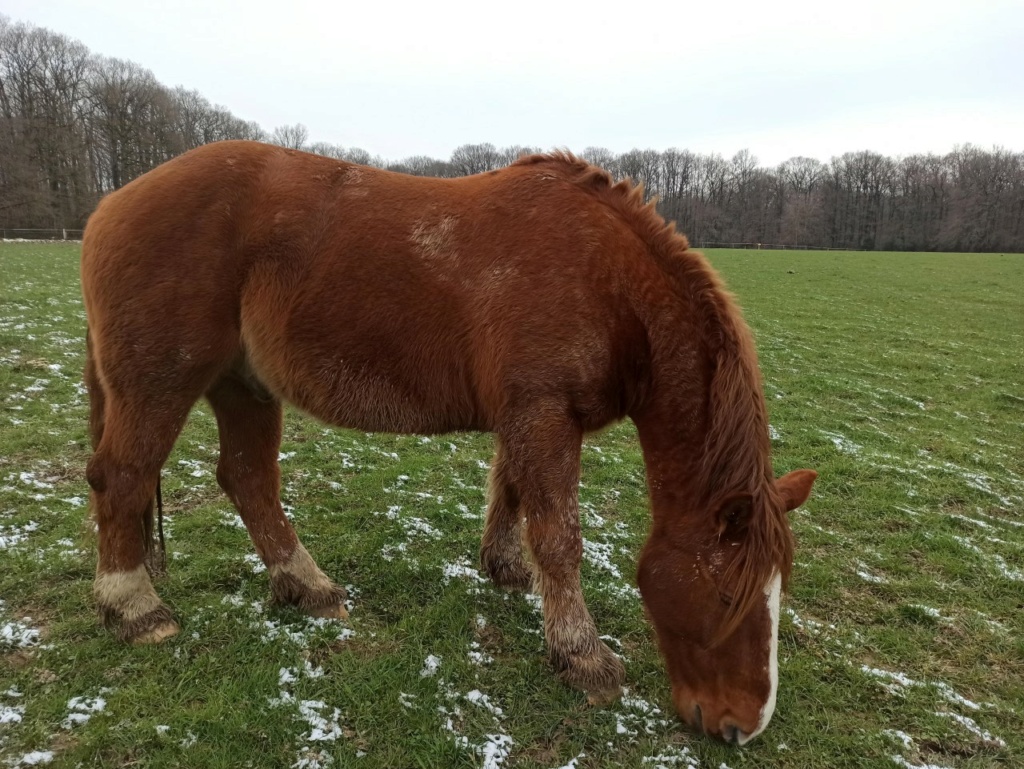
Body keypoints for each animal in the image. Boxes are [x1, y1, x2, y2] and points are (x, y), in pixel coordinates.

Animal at [79, 140, 815, 745]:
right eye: (730, 599)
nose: (743, 726)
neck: (605, 281)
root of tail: (112, 201)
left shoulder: (527, 417)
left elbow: (510, 494)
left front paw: (504, 568)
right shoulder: (544, 414)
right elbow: (559, 536)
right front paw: (583, 656)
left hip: (243, 384)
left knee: (246, 480)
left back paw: (307, 586)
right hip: (162, 381)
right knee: (123, 476)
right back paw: (135, 608)